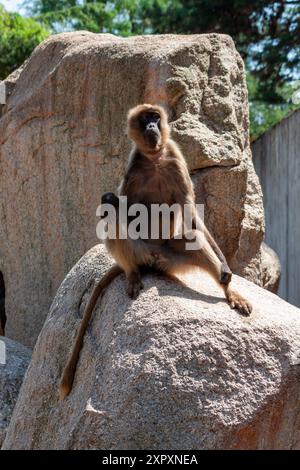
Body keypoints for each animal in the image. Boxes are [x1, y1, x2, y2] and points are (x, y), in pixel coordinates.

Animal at [58, 104, 251, 398]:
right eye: (145, 119)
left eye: (155, 117)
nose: (151, 127)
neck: (154, 158)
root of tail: (153, 257)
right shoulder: (134, 166)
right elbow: (122, 207)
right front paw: (110, 199)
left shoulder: (174, 158)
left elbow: (191, 211)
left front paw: (225, 267)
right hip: (139, 250)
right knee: (112, 215)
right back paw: (132, 274)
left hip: (171, 255)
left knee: (192, 238)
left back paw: (228, 291)